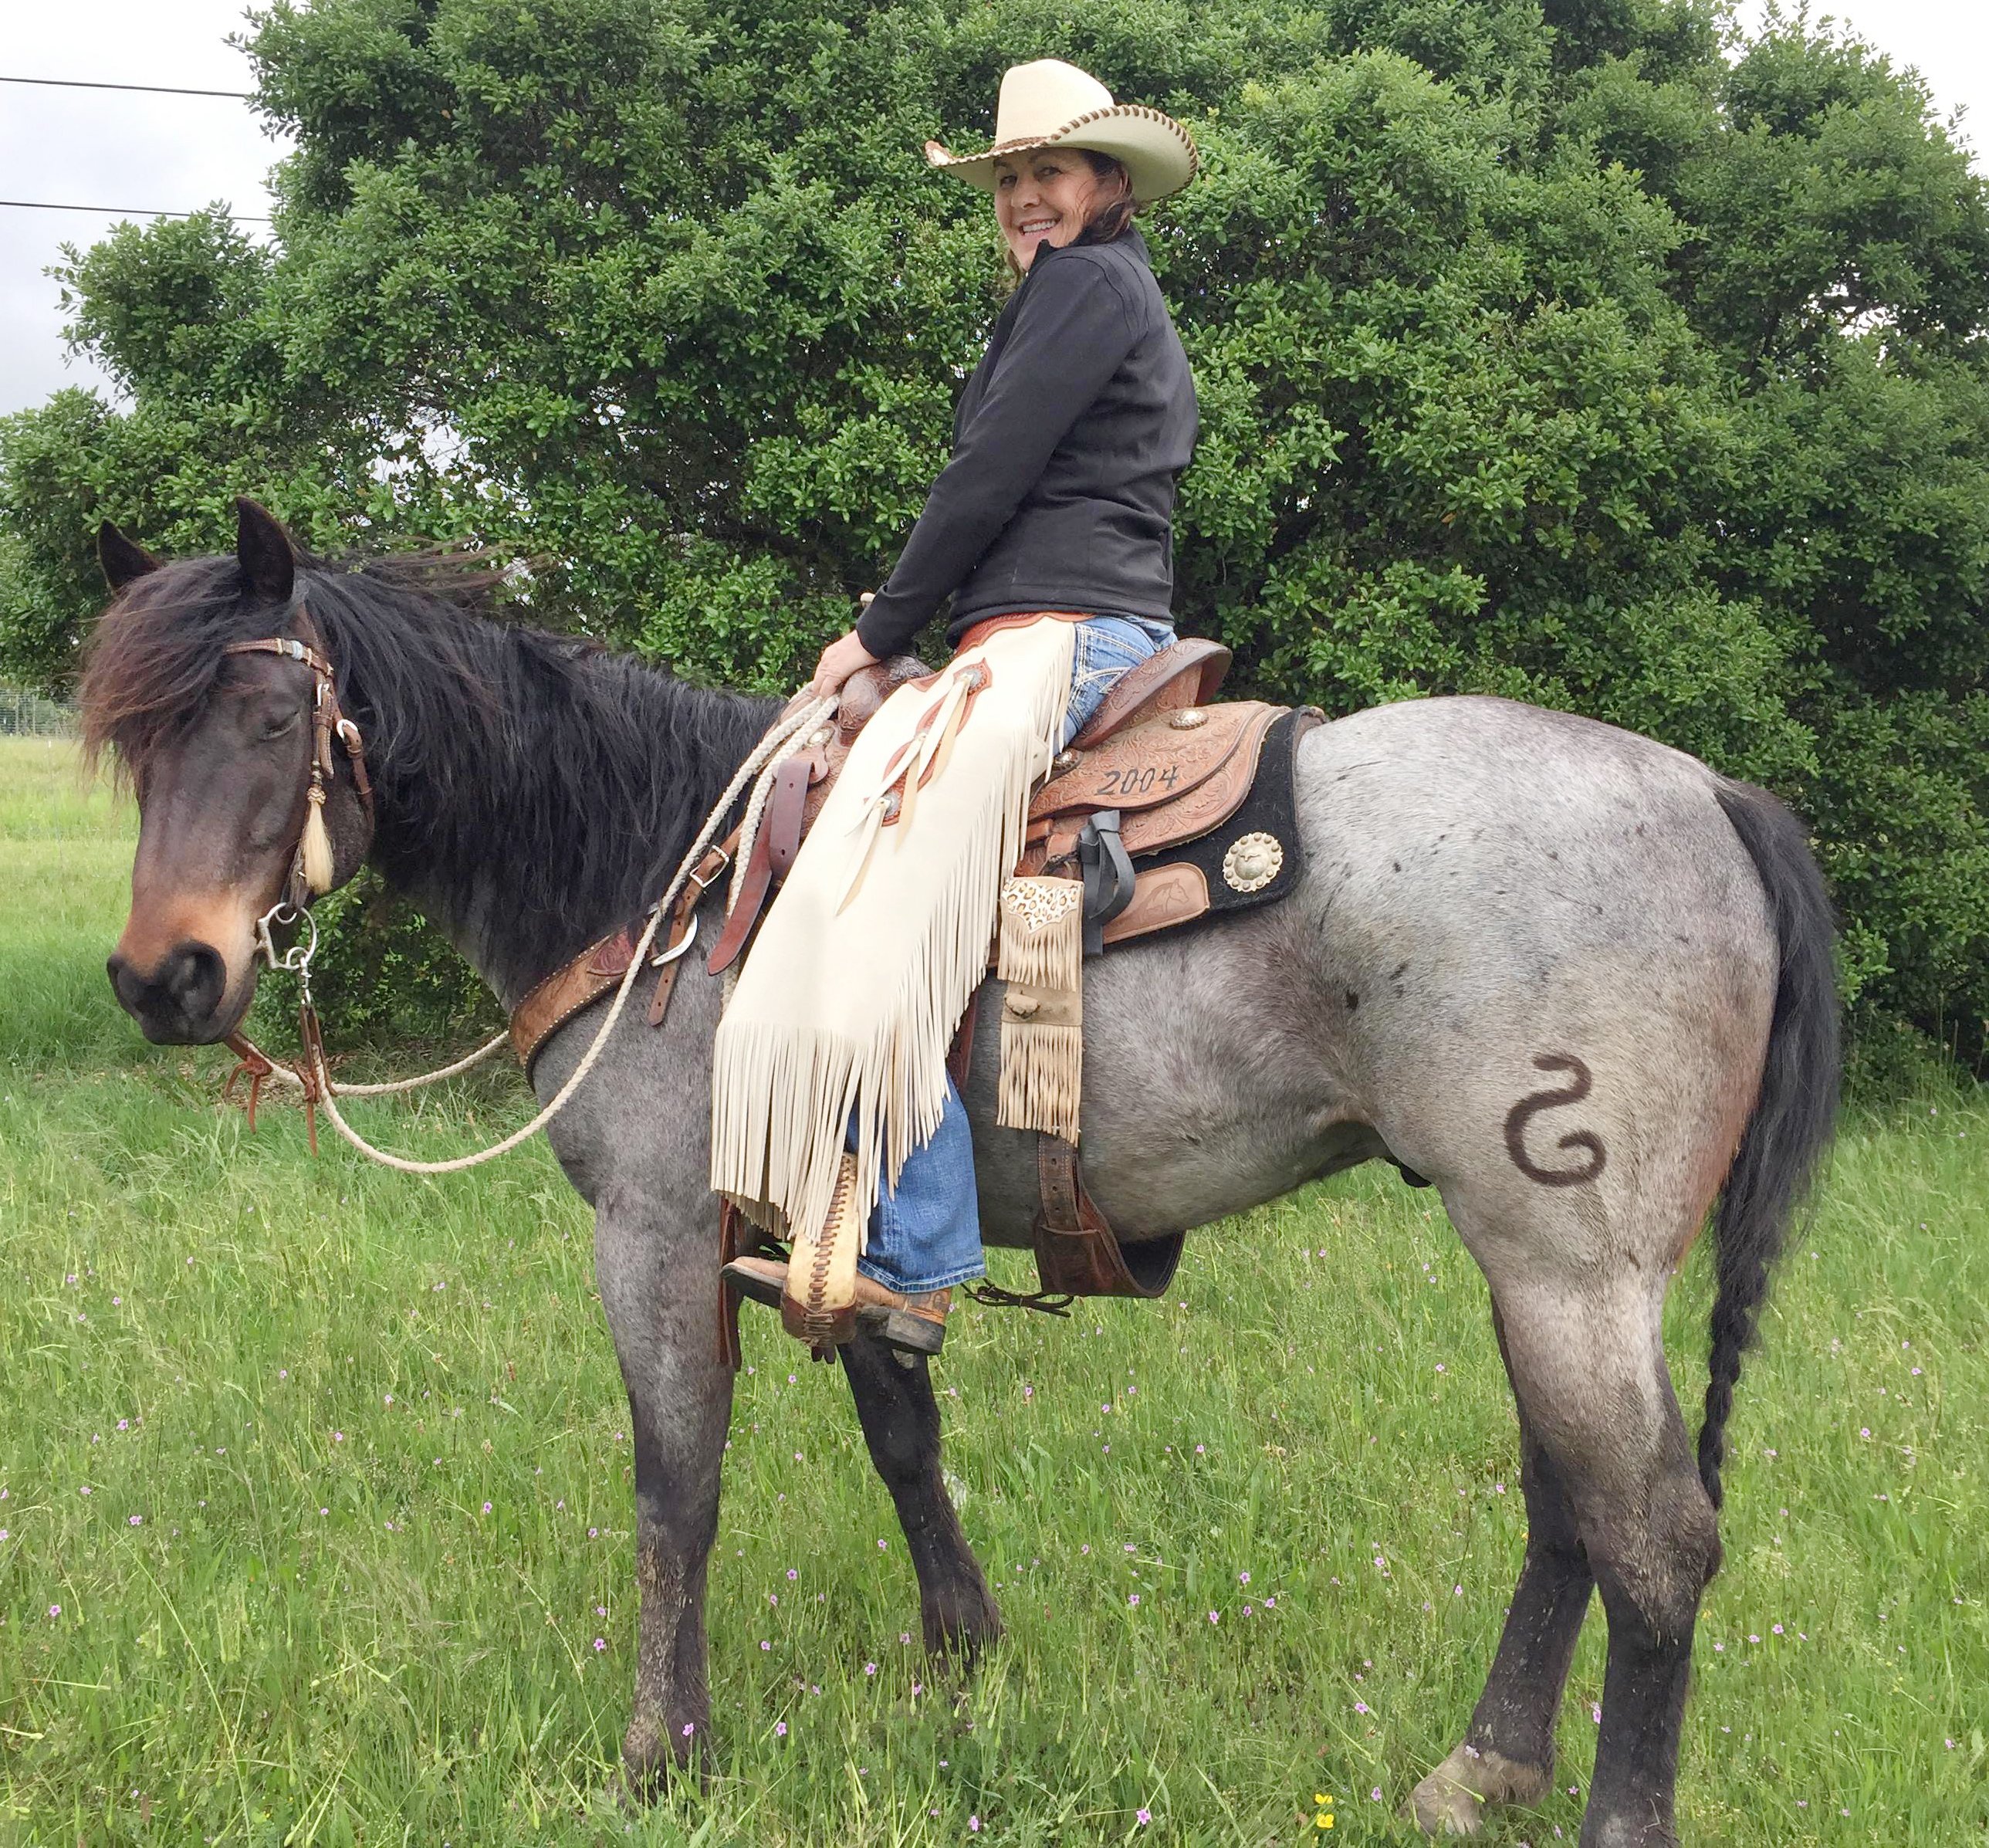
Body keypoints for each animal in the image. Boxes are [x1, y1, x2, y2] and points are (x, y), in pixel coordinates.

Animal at [85, 497, 1838, 1838]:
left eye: (267, 721)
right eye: (131, 747)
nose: (165, 976)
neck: (662, 875)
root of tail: (1712, 791)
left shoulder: (652, 1232)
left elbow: (675, 1488)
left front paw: (663, 1751)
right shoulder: (835, 1222)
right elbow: (900, 1432)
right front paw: (963, 1651)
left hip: (1567, 1265)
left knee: (1653, 1539)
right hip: (1539, 1273)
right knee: (1567, 1506)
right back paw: (1480, 1771)